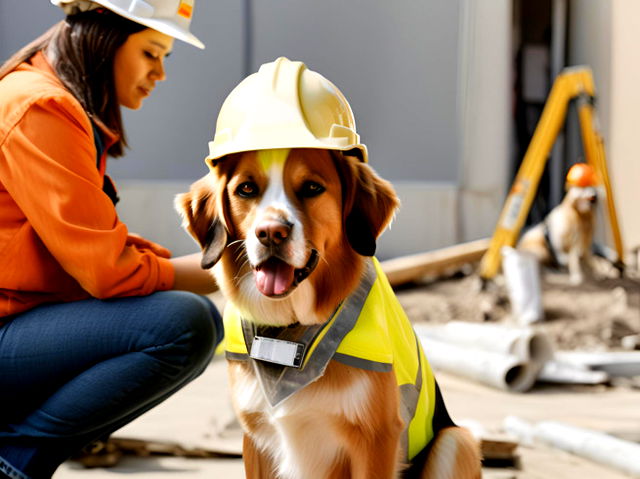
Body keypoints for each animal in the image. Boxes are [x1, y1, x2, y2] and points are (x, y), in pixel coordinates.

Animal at [175, 148, 480, 478]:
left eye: (312, 187)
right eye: (246, 189)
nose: (270, 233)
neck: (291, 328)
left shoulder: (376, 439)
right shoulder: (256, 439)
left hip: (457, 441)